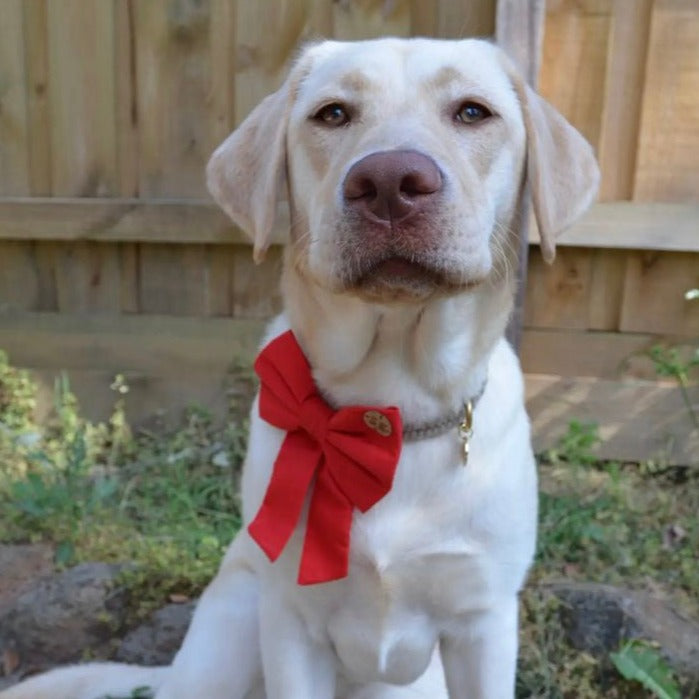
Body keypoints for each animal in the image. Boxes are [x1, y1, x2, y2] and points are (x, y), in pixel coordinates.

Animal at [2, 37, 600, 699]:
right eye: (332, 114)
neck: (388, 415)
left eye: (472, 112)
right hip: (231, 630)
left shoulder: (484, 624)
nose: (389, 182)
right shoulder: (291, 622)